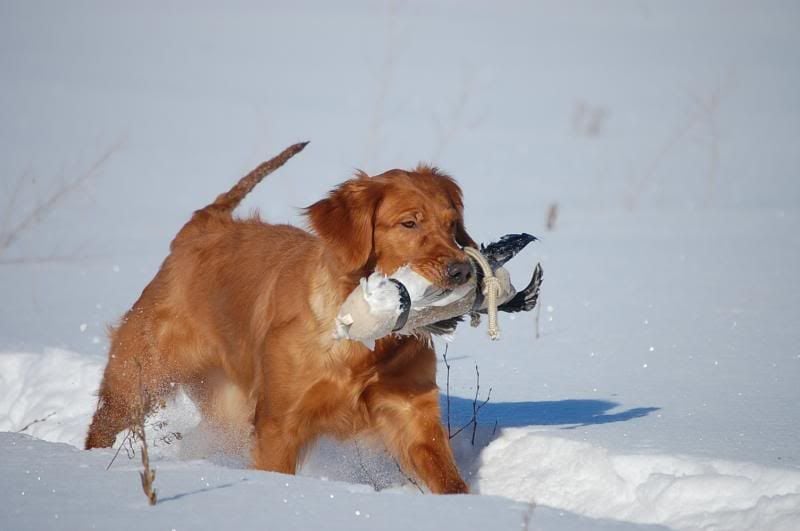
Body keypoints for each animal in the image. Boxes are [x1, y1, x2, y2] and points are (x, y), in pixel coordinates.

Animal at [85, 142, 474, 494]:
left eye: (452, 224)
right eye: (409, 223)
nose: (462, 271)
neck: (361, 339)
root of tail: (203, 224)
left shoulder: (412, 413)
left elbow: (448, 479)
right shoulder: (278, 423)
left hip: (227, 407)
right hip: (141, 376)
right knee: (103, 424)